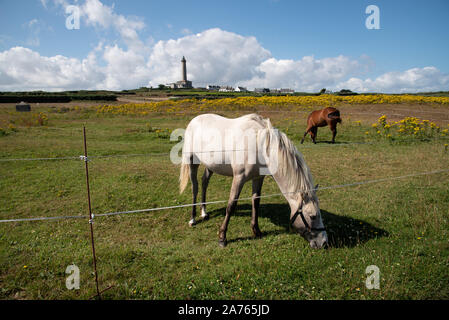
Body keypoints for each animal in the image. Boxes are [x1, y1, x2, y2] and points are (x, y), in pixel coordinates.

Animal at [178, 114, 326, 249]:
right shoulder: (239, 178)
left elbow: (256, 201)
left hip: (211, 165)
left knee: (204, 183)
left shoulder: (258, 178)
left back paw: (204, 213)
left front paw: (256, 231)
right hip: (192, 161)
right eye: (312, 216)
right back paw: (193, 219)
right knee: (195, 187)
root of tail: (194, 120)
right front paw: (222, 237)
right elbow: (231, 205)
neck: (259, 143)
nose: (324, 243)